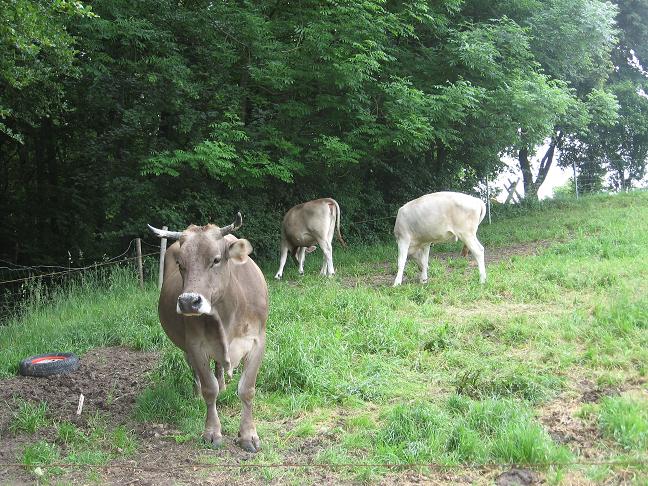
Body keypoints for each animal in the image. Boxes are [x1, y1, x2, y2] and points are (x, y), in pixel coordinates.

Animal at [148, 215, 268, 454]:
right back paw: (197, 392)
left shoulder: (258, 341)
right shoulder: (195, 345)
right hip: (186, 347)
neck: (227, 313)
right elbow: (209, 389)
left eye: (216, 260)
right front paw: (212, 432)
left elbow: (247, 389)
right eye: (180, 264)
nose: (188, 301)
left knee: (220, 366)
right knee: (196, 371)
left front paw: (248, 435)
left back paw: (223, 384)